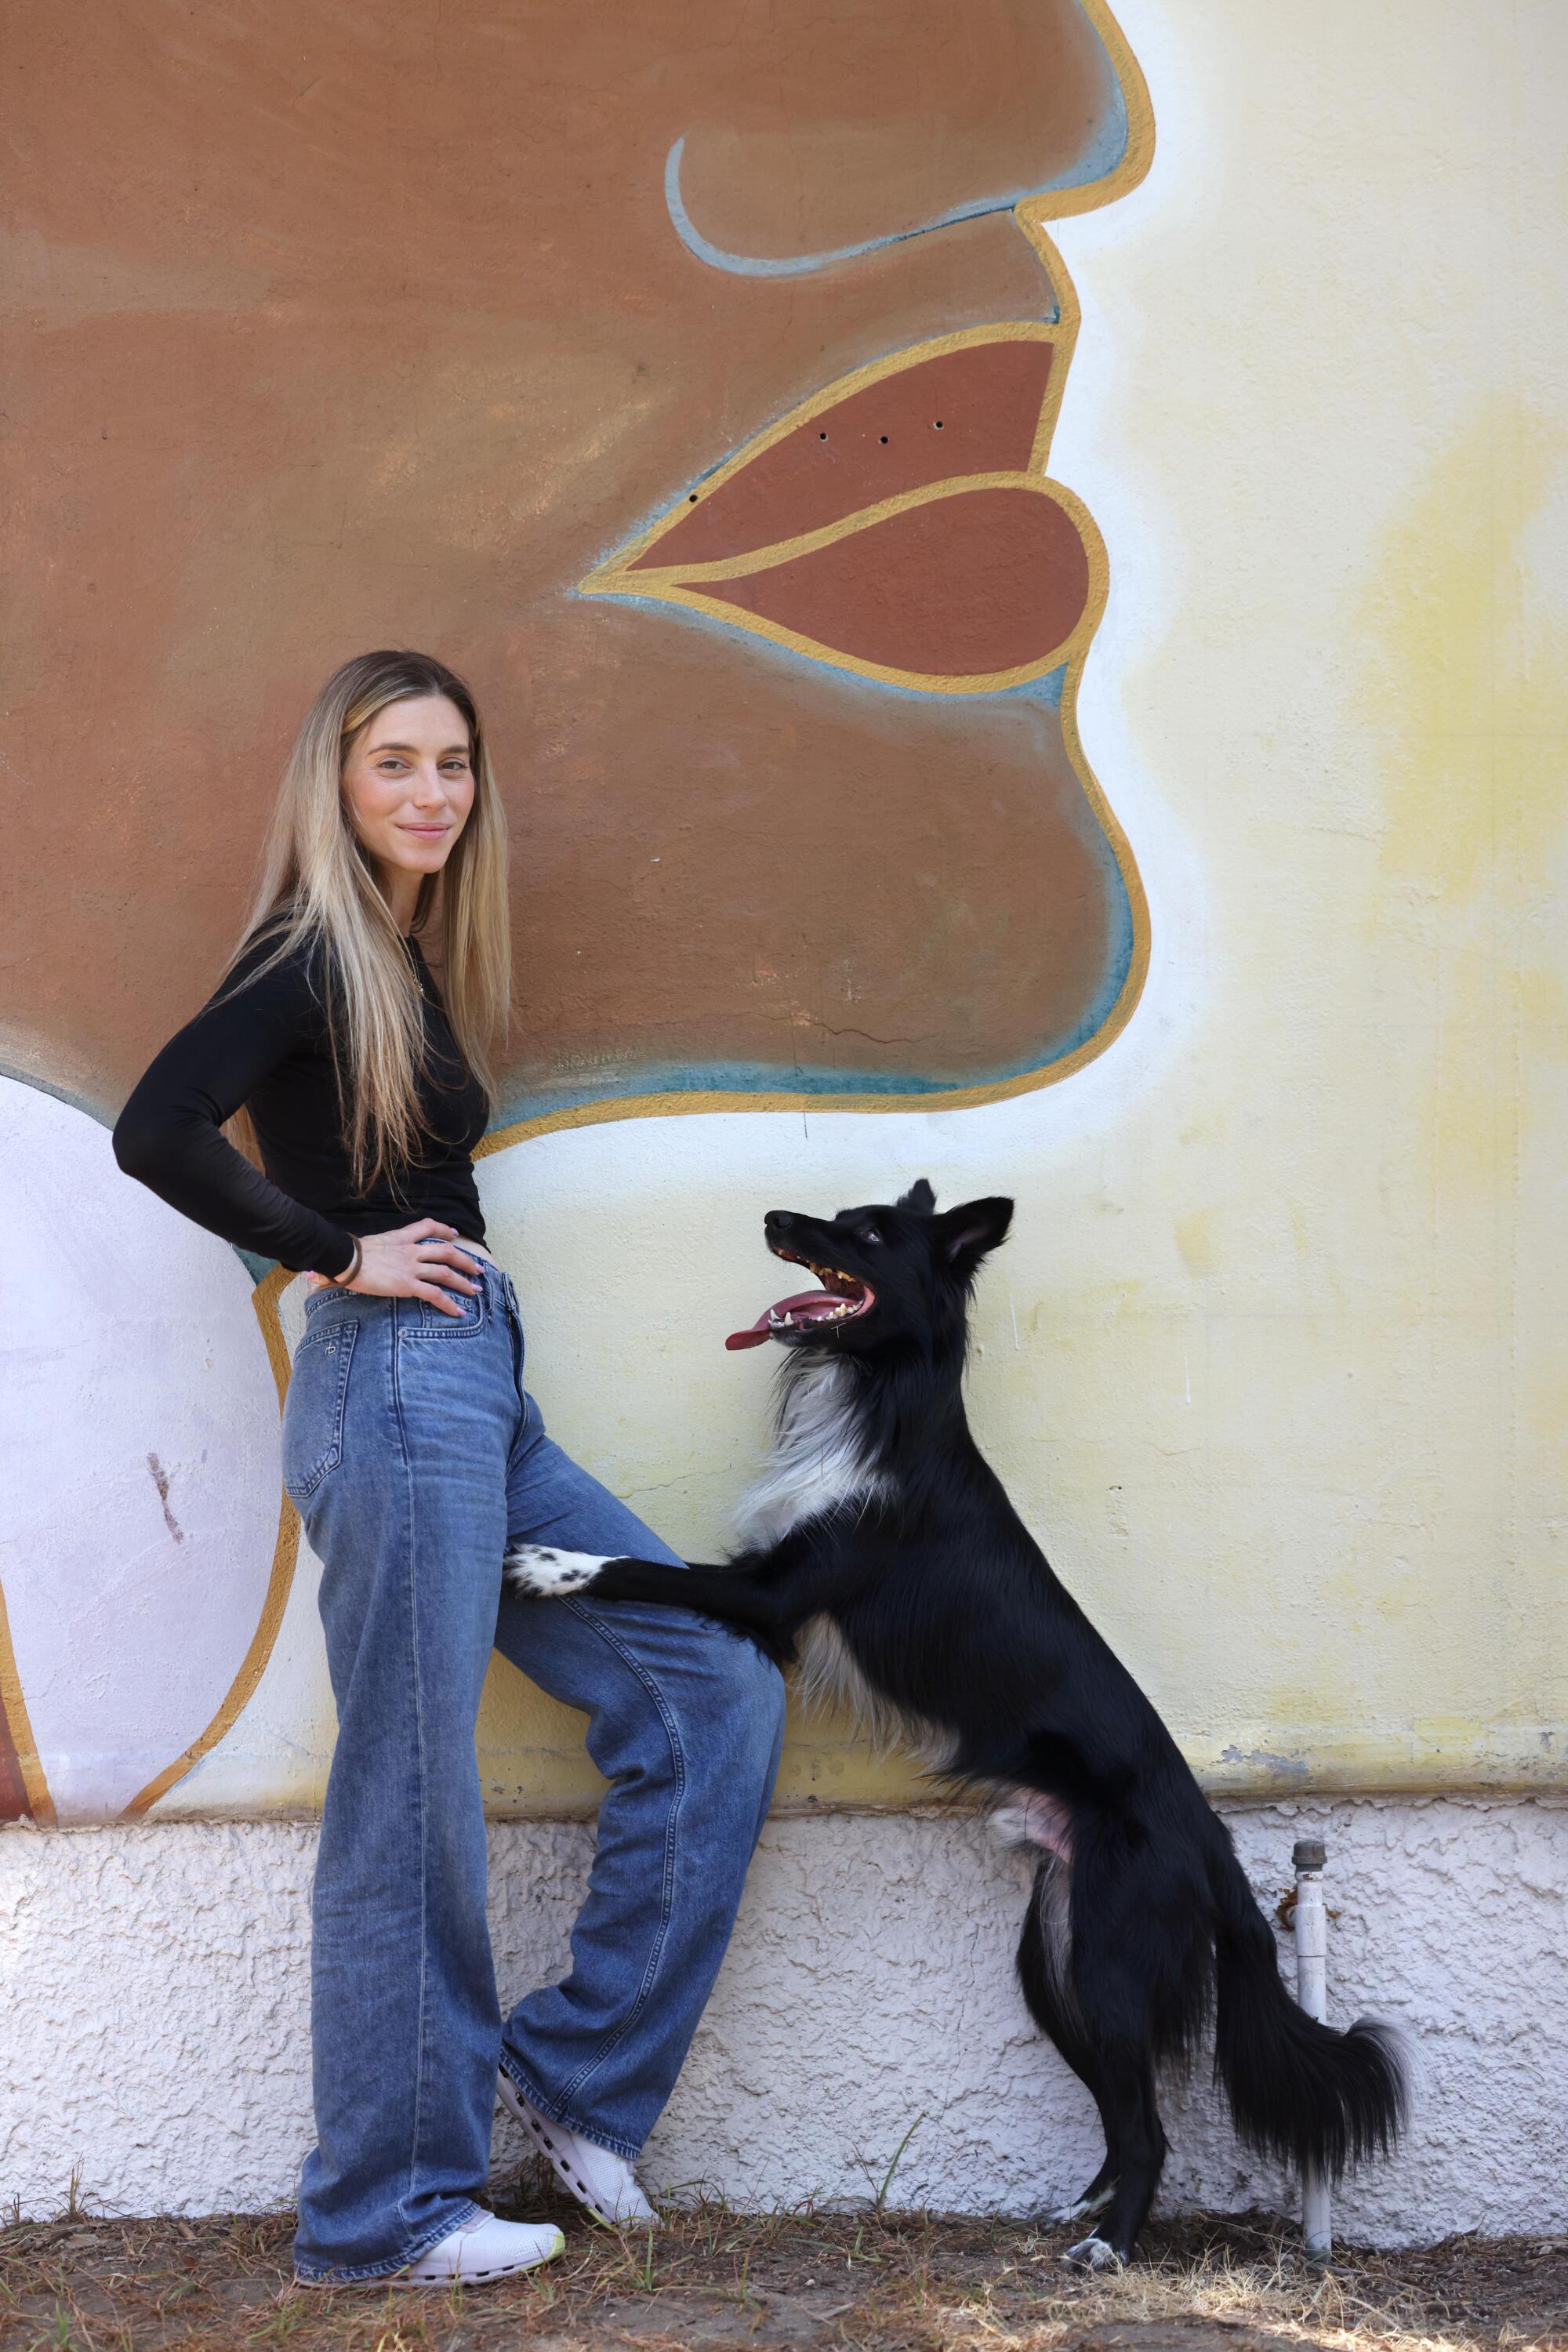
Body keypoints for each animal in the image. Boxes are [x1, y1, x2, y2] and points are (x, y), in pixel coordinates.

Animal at [512, 1185, 1410, 2267]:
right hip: (1052, 1964)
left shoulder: (774, 1597)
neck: (878, 1393)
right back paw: (1081, 2210)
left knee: (1149, 2127)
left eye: (862, 1235)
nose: (772, 1215)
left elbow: (644, 1567)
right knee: (1119, 2114)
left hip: (1110, 1961)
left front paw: (549, 1563)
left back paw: (1109, 2246)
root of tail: (1214, 1847)